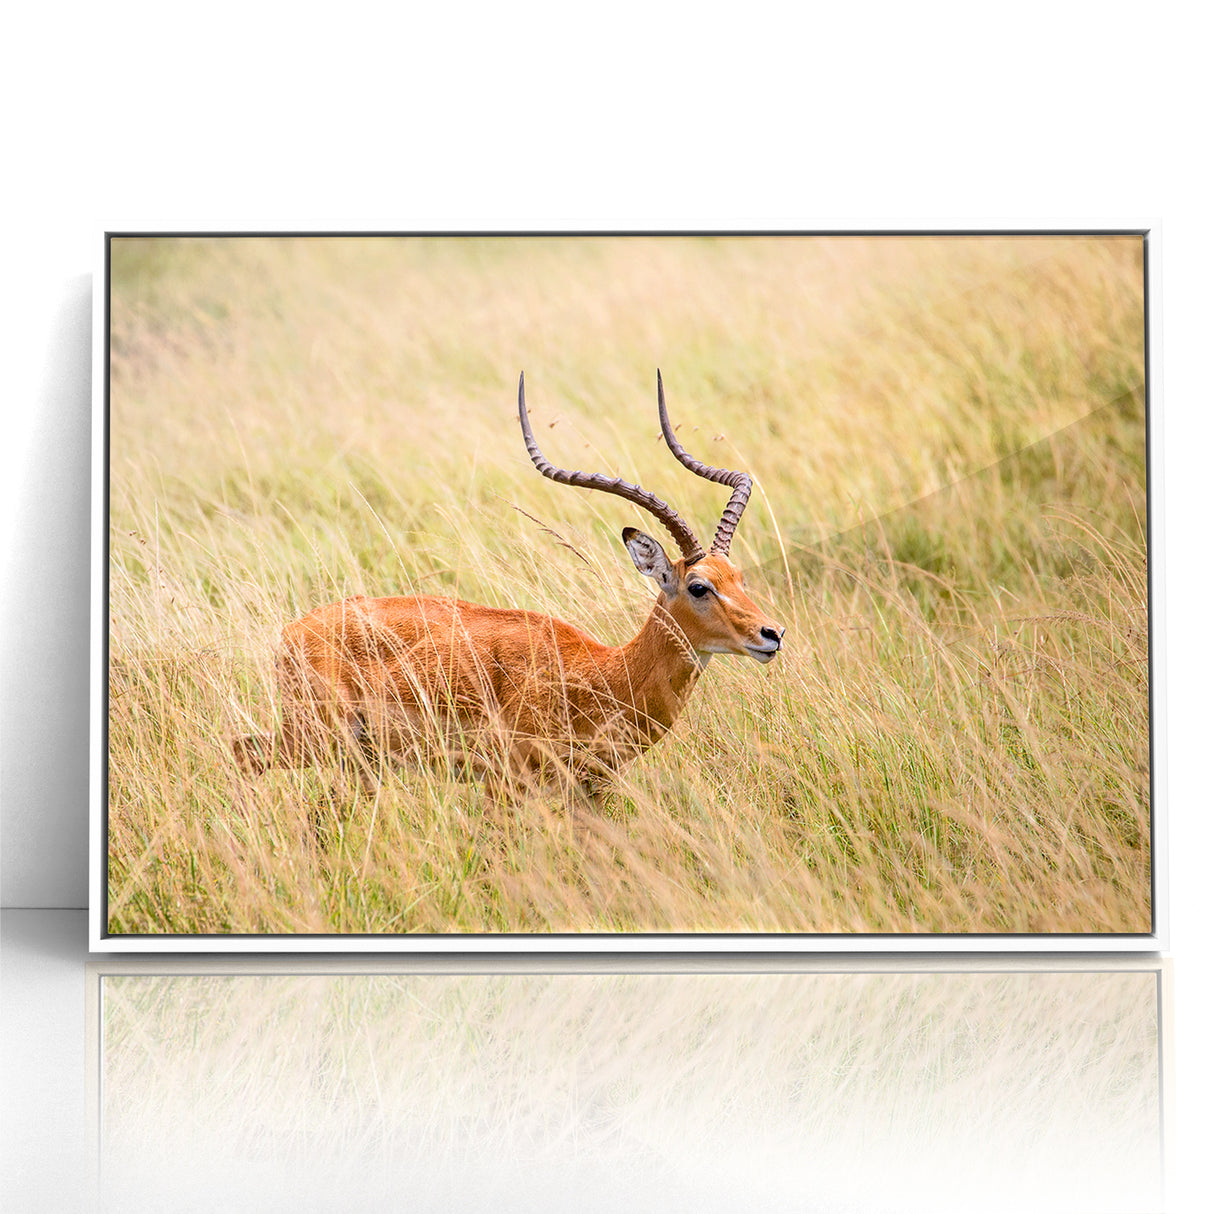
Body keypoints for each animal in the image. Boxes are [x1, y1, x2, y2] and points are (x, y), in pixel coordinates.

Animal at [232, 371, 784, 808]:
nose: (771, 634)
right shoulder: (506, 783)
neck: (603, 674)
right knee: (241, 753)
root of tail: (292, 631)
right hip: (317, 737)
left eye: (738, 577)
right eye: (698, 586)